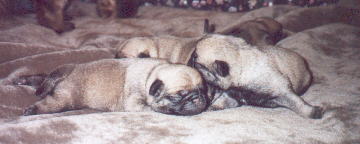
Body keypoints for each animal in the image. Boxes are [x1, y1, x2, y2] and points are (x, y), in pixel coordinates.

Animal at [16, 58, 208, 116]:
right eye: (179, 95)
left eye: (204, 90)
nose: (198, 98)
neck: (150, 75)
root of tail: (72, 67)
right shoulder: (135, 103)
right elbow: (152, 108)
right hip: (65, 99)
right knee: (50, 103)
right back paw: (32, 109)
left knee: (43, 79)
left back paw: (23, 81)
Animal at [191, 34, 324, 119]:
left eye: (195, 57)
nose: (190, 61)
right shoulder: (232, 93)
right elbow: (224, 100)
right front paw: (212, 106)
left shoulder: (282, 91)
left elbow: (297, 103)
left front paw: (312, 112)